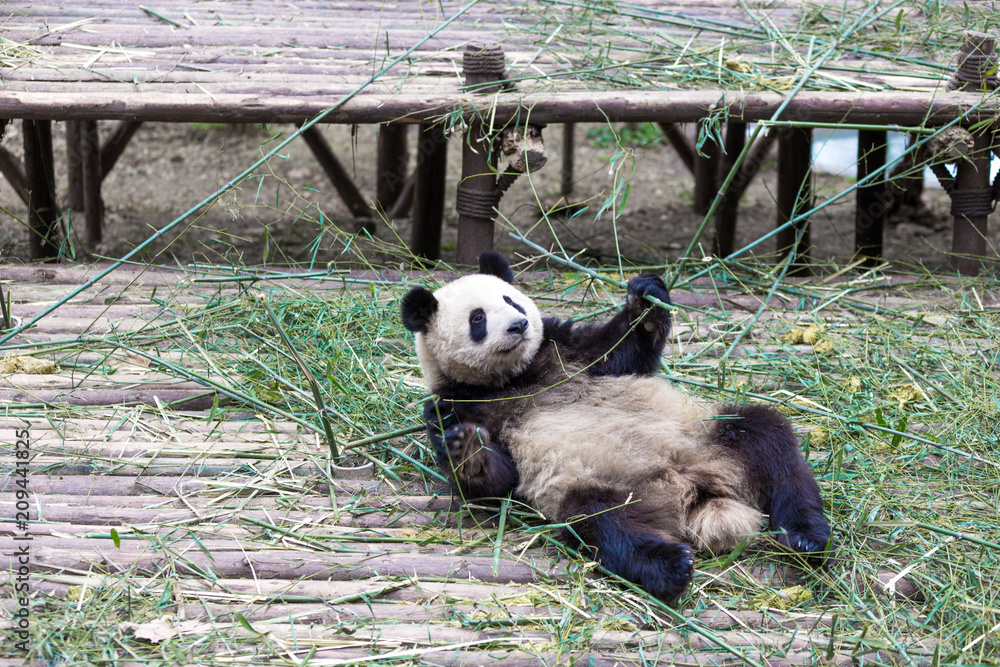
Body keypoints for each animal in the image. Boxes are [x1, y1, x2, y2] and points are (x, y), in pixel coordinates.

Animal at [402, 252, 832, 604]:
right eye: (477, 318)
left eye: (512, 300)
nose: (519, 325)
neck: (512, 378)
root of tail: (694, 494)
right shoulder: (455, 403)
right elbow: (495, 482)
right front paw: (468, 450)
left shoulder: (563, 348)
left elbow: (620, 352)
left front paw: (646, 300)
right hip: (597, 486)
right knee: (603, 524)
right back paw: (671, 566)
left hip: (708, 436)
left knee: (769, 440)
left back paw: (805, 537)